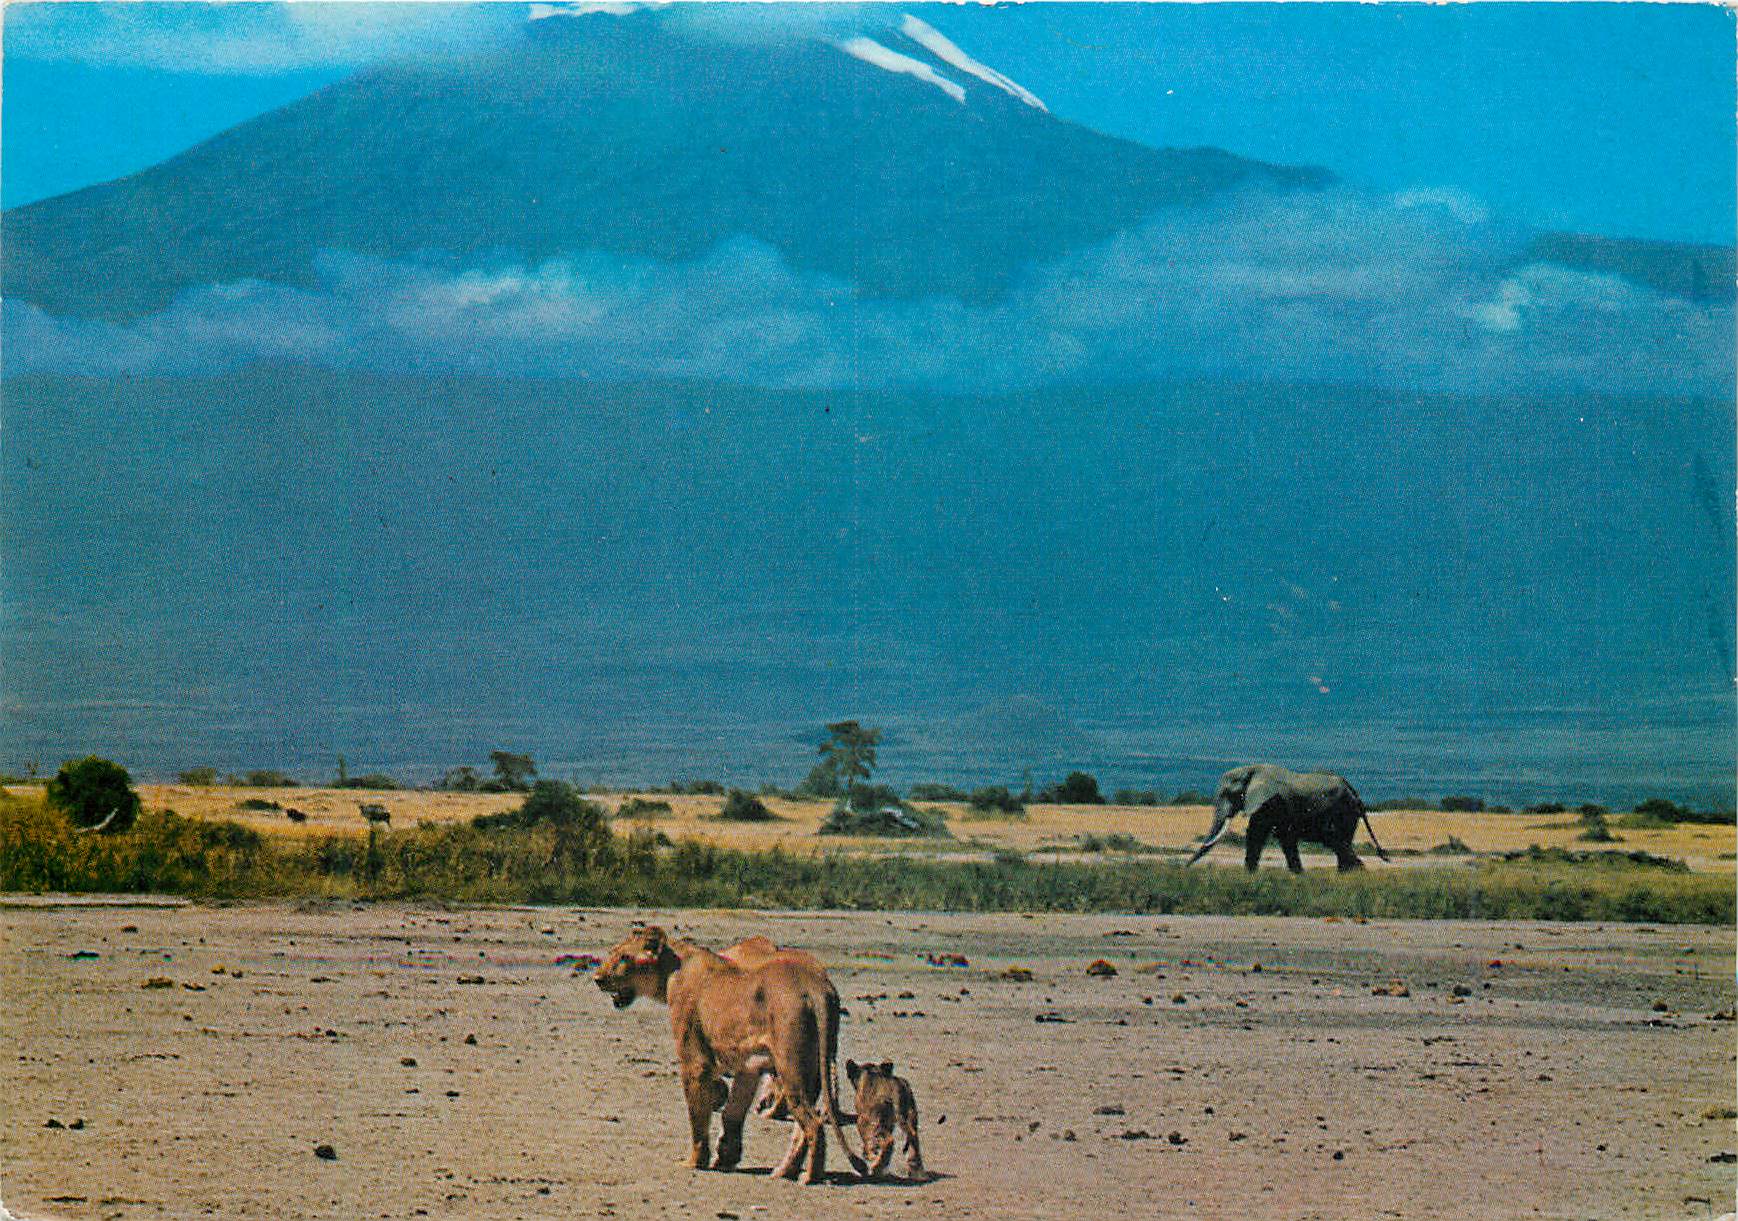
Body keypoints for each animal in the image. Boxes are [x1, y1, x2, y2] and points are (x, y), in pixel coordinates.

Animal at [594, 926, 866, 1183]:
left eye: (624, 957)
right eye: (613, 952)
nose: (597, 978)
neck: (671, 968)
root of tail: (815, 987)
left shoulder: (695, 1060)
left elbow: (697, 1115)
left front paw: (695, 1161)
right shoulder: (749, 1065)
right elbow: (732, 1113)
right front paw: (726, 1157)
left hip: (790, 1067)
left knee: (813, 1123)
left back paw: (809, 1177)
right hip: (815, 1068)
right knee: (805, 1124)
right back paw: (783, 1171)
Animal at [1187, 764, 1389, 873]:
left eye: (1229, 794)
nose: (1184, 866)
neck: (1252, 769)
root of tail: (1353, 791)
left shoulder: (1270, 803)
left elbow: (1263, 834)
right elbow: (1263, 836)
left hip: (1342, 811)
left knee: (1335, 842)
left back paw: (1358, 873)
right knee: (1341, 844)